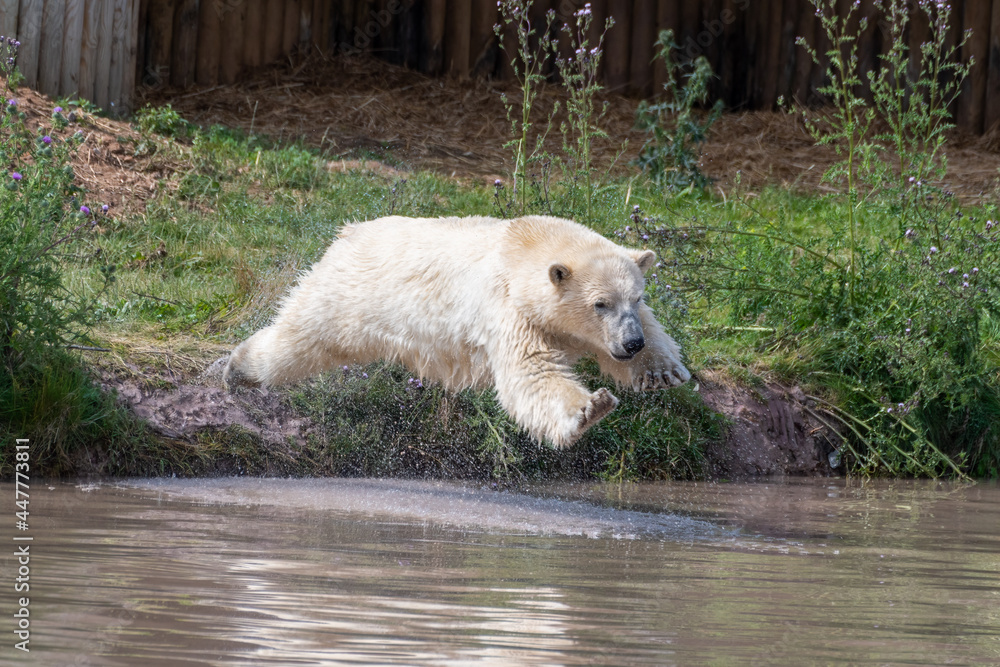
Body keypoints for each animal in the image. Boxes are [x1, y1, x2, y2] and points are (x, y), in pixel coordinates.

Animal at [224, 215, 691, 448]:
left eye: (636, 298)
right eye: (600, 304)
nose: (631, 344)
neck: (524, 245)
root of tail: (349, 231)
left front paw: (661, 371)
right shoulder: (508, 308)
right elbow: (531, 373)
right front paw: (590, 407)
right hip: (349, 296)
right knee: (299, 338)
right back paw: (238, 368)